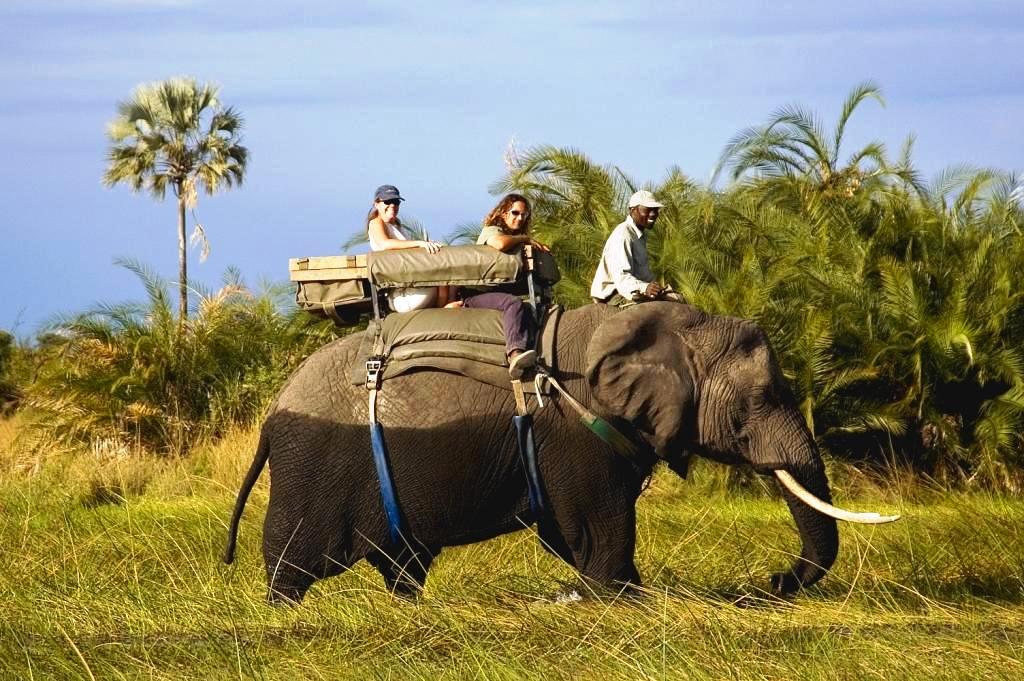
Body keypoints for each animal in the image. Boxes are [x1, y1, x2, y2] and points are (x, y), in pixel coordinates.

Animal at [224, 302, 896, 603]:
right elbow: (595, 524)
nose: (772, 582)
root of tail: (271, 417)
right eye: (760, 400)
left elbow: (567, 533)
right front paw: (621, 599)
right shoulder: (570, 431)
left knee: (403, 560)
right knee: (294, 557)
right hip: (316, 459)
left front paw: (620, 595)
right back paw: (285, 610)